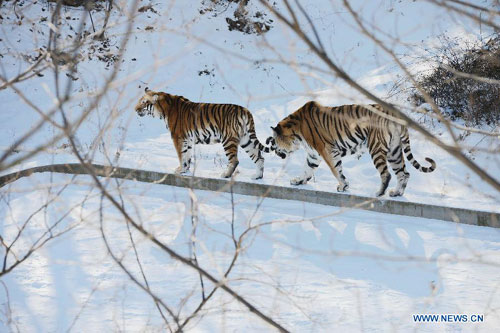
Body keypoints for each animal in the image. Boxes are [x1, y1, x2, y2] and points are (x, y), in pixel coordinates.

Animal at [135, 87, 272, 178]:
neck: (163, 110)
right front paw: (185, 170)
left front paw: (180, 170)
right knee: (260, 157)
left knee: (234, 160)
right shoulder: (187, 140)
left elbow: (181, 155)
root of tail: (245, 111)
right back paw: (257, 177)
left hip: (228, 140)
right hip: (246, 140)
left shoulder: (177, 138)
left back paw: (225, 175)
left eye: (143, 102)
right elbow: (187, 156)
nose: (135, 109)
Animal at [268, 100, 436, 196]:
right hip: (394, 150)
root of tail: (395, 113)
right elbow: (307, 169)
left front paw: (343, 186)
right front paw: (298, 181)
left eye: (274, 142)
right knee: (404, 173)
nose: (275, 152)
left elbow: (336, 170)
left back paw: (379, 193)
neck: (297, 133)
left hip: (376, 147)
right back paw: (396, 193)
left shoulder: (327, 150)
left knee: (386, 174)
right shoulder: (313, 155)